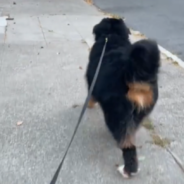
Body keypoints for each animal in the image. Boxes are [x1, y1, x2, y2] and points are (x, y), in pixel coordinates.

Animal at [85, 17, 160, 178]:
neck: (112, 37)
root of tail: (134, 75)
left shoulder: (91, 81)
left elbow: (91, 96)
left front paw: (89, 104)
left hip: (116, 114)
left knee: (128, 145)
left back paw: (128, 169)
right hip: (139, 113)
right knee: (130, 132)